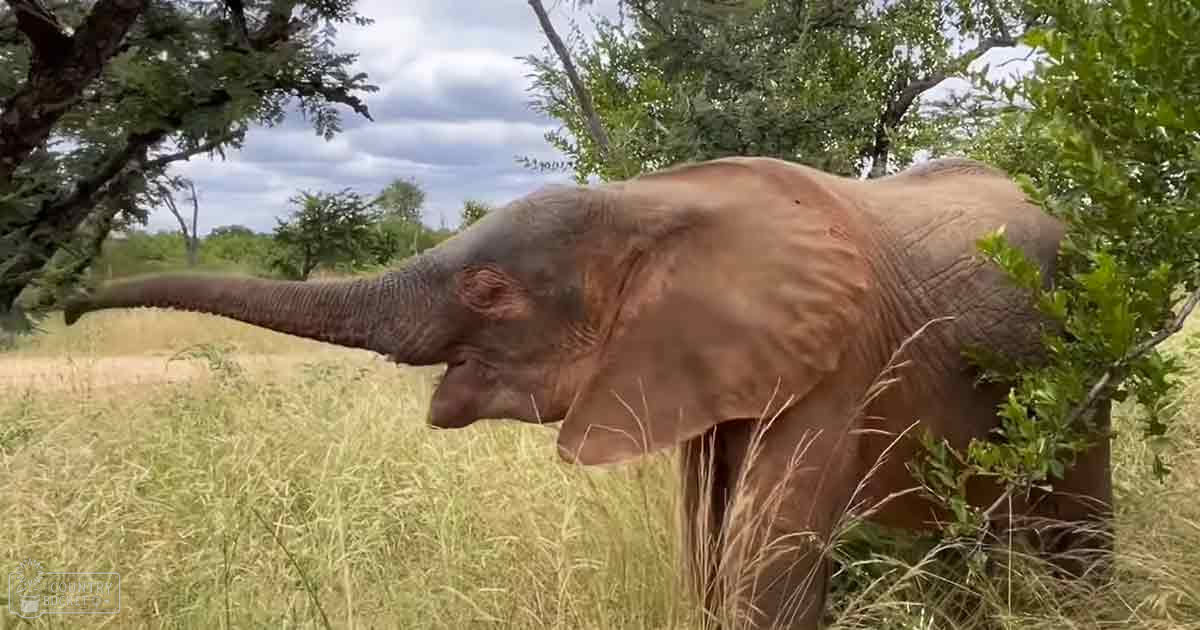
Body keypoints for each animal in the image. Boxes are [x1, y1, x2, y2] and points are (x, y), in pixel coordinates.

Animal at [63, 156, 1113, 629]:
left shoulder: (843, 360)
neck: (653, 200)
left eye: (490, 291)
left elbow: (765, 557)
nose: (69, 305)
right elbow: (705, 540)